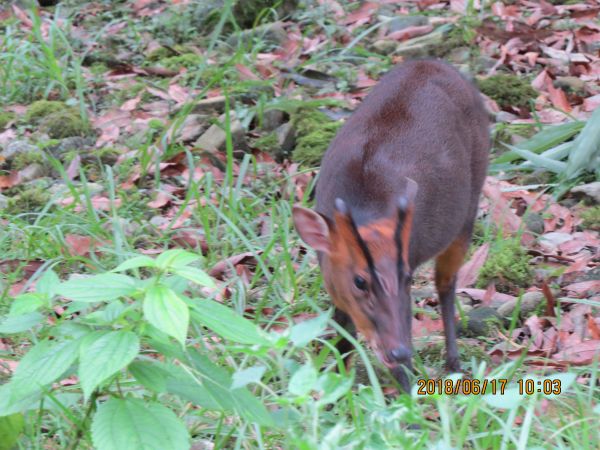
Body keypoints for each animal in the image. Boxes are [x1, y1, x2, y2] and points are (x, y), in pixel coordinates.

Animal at [292, 59, 490, 390]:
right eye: (360, 281)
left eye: (407, 277)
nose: (398, 351)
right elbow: (342, 338)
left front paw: (408, 397)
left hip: (469, 209)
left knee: (446, 284)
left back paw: (453, 363)